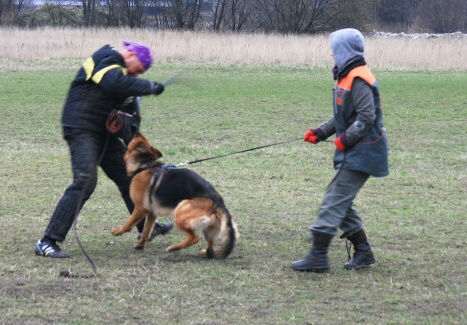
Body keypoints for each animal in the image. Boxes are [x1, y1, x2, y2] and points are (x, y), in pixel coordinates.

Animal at [111, 132, 239, 258]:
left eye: (140, 140)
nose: (136, 130)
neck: (145, 165)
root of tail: (217, 203)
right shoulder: (151, 212)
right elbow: (146, 231)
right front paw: (140, 245)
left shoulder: (140, 208)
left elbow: (129, 223)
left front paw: (118, 231)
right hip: (209, 230)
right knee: (211, 251)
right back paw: (204, 252)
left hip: (180, 212)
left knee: (194, 238)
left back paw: (174, 248)